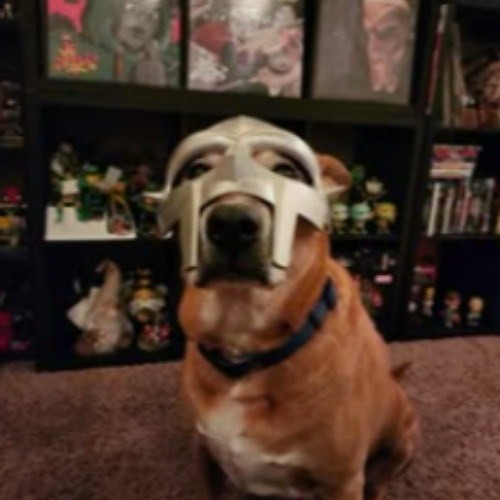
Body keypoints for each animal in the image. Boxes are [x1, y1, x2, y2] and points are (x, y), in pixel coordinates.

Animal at [160, 117, 418, 500]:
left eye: (286, 171)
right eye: (196, 171)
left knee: (381, 480)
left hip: (403, 439)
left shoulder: (343, 480)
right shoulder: (203, 451)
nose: (232, 224)